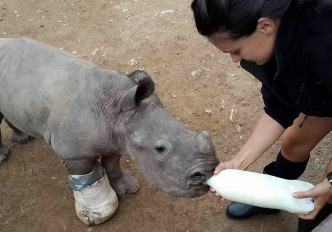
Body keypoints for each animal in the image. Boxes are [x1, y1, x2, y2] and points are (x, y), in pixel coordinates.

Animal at [0, 37, 219, 225]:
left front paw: (127, 189)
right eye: (160, 148)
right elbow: (85, 176)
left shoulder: (115, 138)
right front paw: (96, 213)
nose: (209, 170)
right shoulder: (72, 152)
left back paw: (23, 138)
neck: (115, 109)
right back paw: (4, 157)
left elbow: (112, 163)